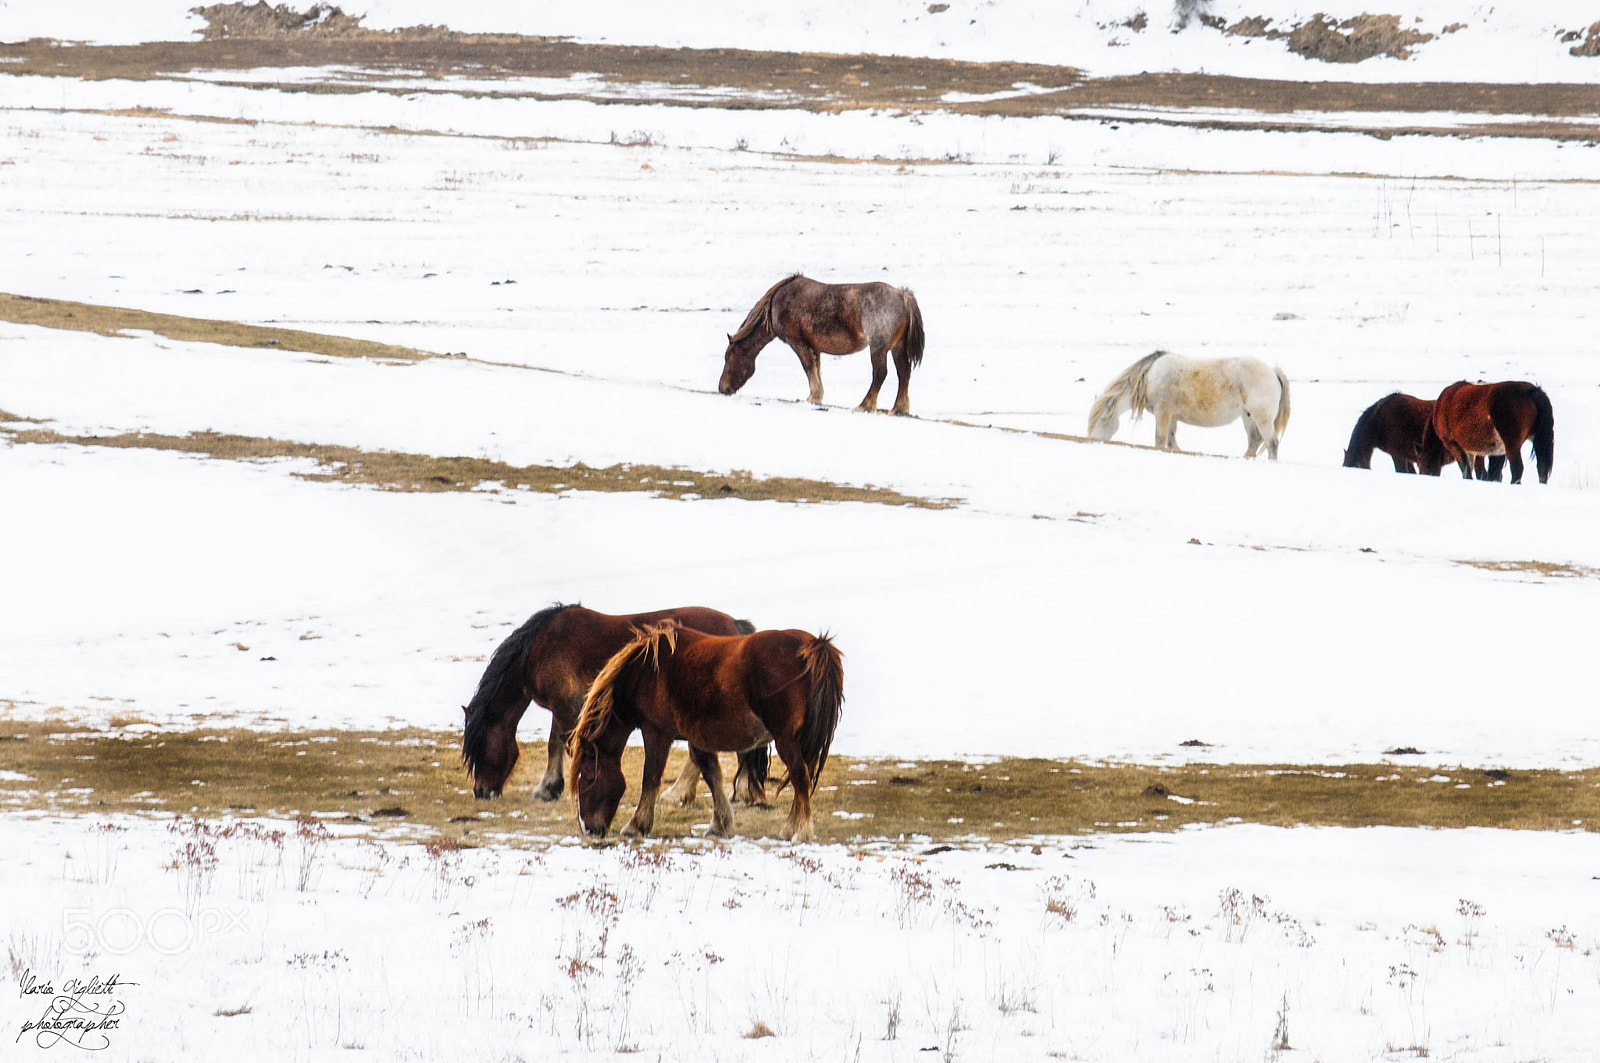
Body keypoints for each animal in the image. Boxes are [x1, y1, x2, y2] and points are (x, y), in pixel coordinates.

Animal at [460, 604, 769, 805]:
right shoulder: (566, 706)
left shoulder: (566, 705)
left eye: (479, 749)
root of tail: (736, 626)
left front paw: (555, 787)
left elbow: (559, 742)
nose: (481, 792)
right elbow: (555, 742)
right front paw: (549, 787)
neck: (537, 649)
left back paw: (680, 793)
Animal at [568, 621, 844, 843]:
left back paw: (799, 832)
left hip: (786, 740)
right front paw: (720, 824)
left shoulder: (656, 732)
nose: (589, 829)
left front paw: (636, 825)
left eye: (589, 777)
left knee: (800, 777)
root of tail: (814, 645)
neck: (645, 672)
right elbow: (712, 775)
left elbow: (651, 777)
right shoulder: (697, 738)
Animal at [718, 274, 926, 416]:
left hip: (878, 348)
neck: (777, 304)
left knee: (880, 374)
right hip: (897, 348)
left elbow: (808, 368)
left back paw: (865, 405)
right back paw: (898, 409)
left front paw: (814, 397)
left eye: (729, 358)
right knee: (903, 374)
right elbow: (816, 369)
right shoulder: (814, 347)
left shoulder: (798, 343)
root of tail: (902, 295)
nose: (722, 389)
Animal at [1087, 350, 1290, 459]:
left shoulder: (1163, 412)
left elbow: (1160, 439)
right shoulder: (1171, 416)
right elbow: (1171, 441)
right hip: (1247, 416)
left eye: (1102, 420)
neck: (1151, 376)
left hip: (1262, 417)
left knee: (1272, 443)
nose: (1094, 442)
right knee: (1254, 441)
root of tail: (1273, 371)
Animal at [1418, 380, 1554, 484]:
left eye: (1423, 465)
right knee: (1542, 468)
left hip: (1512, 444)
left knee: (1517, 469)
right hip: (1537, 440)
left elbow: (1467, 471)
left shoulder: (1453, 444)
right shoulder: (1492, 452)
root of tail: (1532, 390)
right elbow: (1491, 474)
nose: (1425, 474)